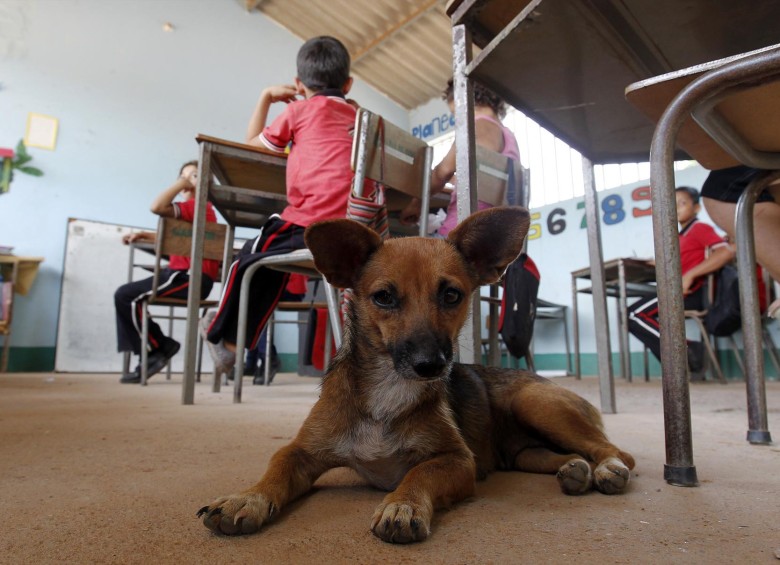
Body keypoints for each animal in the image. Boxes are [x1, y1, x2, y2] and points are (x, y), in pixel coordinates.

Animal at [195, 207, 632, 540]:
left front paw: (402, 505)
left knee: (614, 450)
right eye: (384, 297)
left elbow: (419, 472)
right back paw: (574, 471)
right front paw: (246, 497)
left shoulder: (457, 460)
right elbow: (276, 470)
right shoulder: (299, 452)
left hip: (536, 403)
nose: (431, 365)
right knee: (568, 455)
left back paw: (608, 469)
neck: (389, 387)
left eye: (452, 295)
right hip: (524, 448)